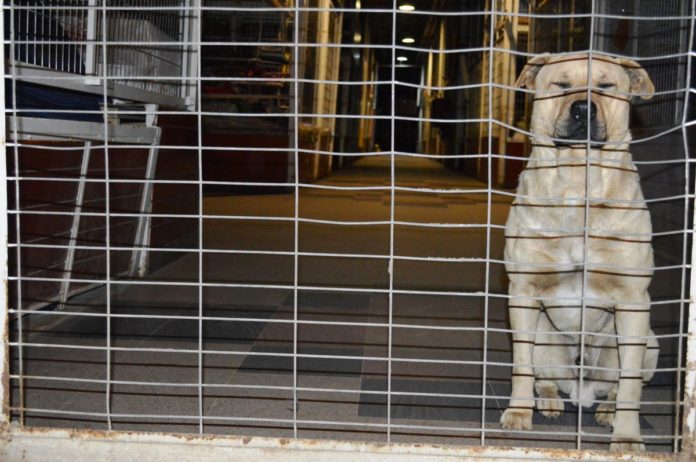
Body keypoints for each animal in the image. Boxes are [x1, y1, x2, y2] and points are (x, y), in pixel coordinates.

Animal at [500, 54, 656, 452]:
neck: (577, 184)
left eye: (606, 86)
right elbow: (520, 364)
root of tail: (579, 390)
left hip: (648, 341)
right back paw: (549, 400)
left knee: (620, 385)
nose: (583, 108)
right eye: (561, 85)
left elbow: (630, 385)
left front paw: (627, 438)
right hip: (544, 336)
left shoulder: (633, 301)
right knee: (543, 375)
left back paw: (607, 410)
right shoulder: (522, 294)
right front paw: (518, 414)